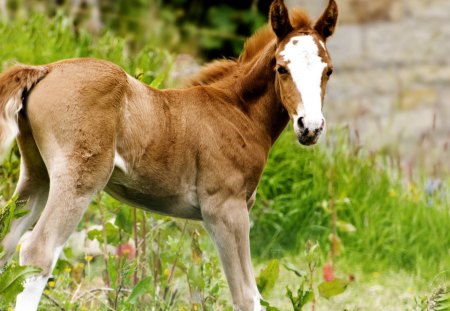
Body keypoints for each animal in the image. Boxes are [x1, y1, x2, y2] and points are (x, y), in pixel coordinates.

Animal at [0, 1, 338, 310]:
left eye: (328, 71)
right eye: (282, 68)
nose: (310, 127)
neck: (237, 110)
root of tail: (46, 69)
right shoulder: (225, 208)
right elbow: (247, 296)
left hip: (37, 175)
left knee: (8, 241)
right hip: (78, 180)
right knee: (37, 251)